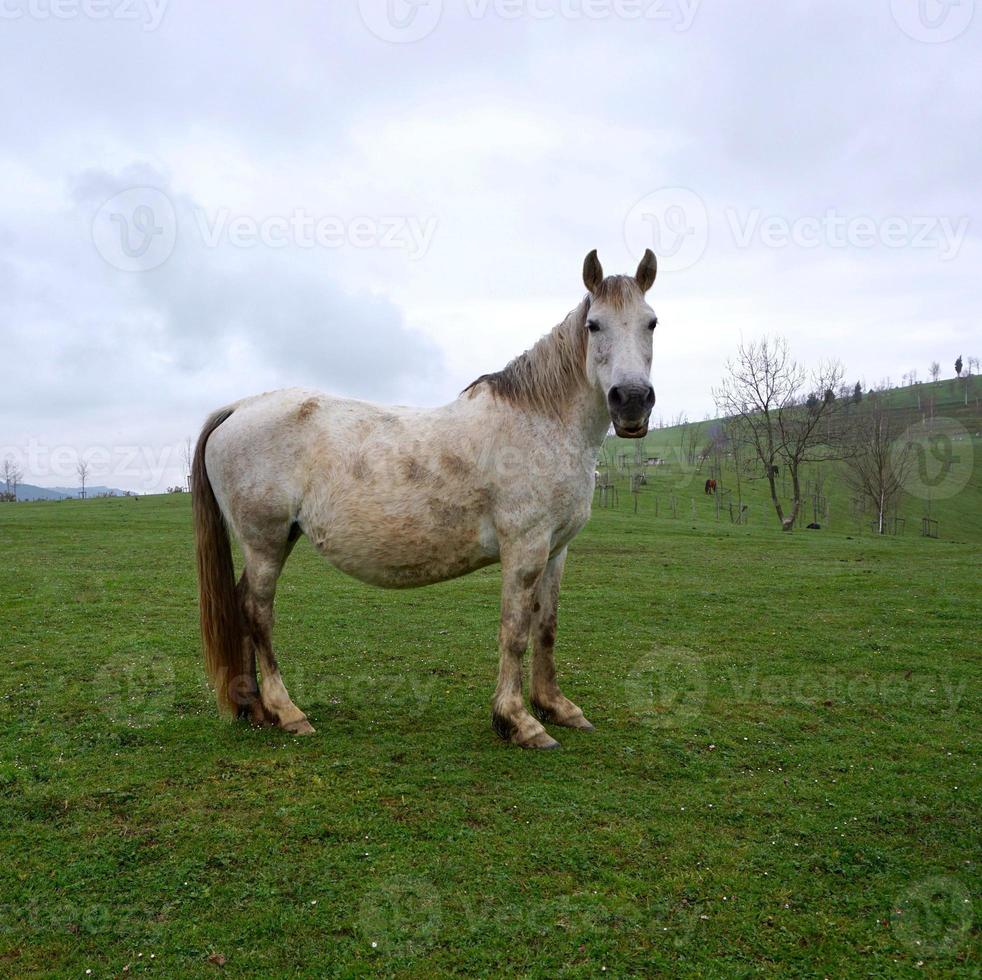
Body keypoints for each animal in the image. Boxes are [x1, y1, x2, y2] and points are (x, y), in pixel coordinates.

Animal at [194, 249, 660, 748]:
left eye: (651, 322)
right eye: (594, 325)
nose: (632, 400)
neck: (541, 422)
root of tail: (238, 408)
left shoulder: (556, 549)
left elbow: (546, 627)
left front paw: (557, 707)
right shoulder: (524, 548)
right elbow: (515, 631)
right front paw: (518, 721)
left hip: (279, 539)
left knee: (242, 607)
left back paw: (254, 709)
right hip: (264, 542)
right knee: (257, 613)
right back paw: (286, 711)